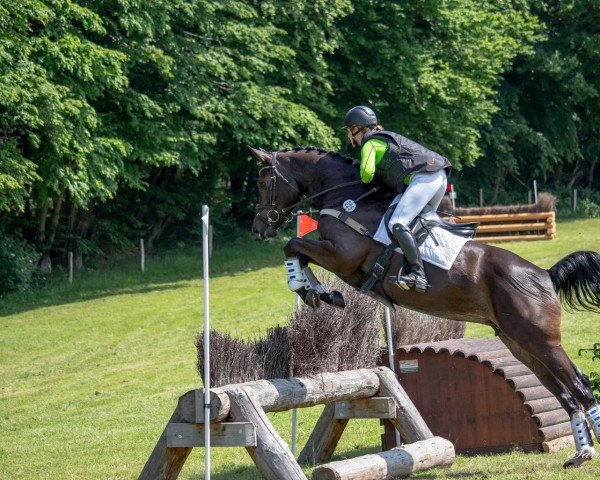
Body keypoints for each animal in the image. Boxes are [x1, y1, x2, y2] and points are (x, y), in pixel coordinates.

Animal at [251, 146, 600, 468]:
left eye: (263, 182)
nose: (258, 229)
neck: (347, 200)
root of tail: (544, 274)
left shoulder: (343, 256)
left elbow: (293, 245)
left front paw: (308, 289)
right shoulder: (336, 257)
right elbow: (298, 252)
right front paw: (318, 293)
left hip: (542, 342)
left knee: (579, 386)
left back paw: (586, 449)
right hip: (520, 345)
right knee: (566, 395)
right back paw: (581, 453)